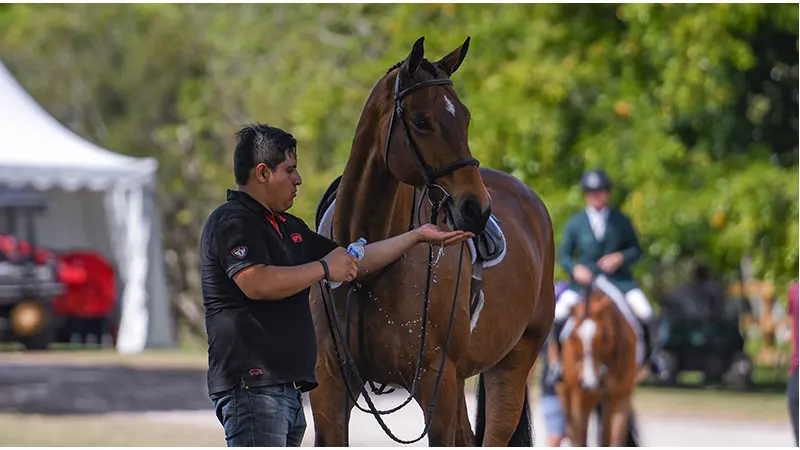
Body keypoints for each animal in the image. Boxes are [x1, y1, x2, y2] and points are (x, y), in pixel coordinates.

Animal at [307, 36, 556, 446]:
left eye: (466, 118)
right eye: (422, 121)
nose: (476, 209)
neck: (369, 265)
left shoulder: (435, 385)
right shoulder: (330, 386)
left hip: (512, 365)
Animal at [555, 286, 642, 446]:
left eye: (604, 337)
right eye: (573, 336)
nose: (589, 382)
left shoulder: (620, 397)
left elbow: (615, 440)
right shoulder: (581, 397)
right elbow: (579, 440)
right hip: (565, 393)